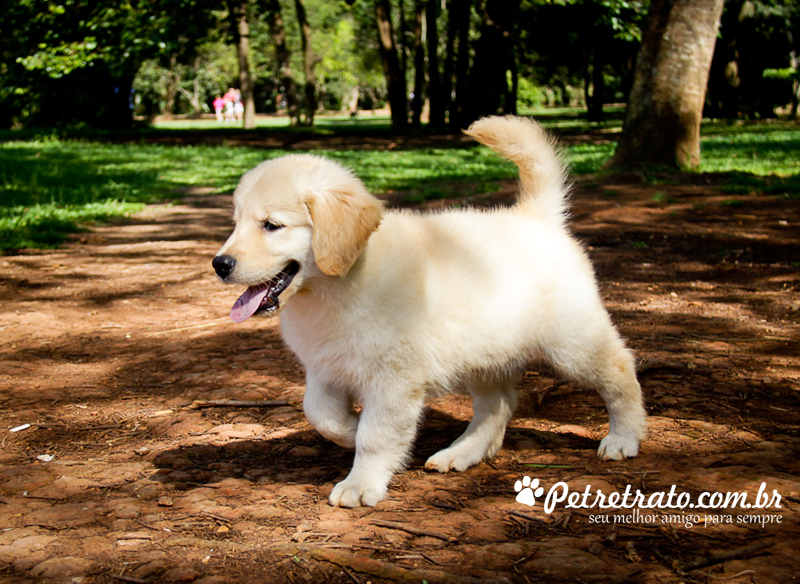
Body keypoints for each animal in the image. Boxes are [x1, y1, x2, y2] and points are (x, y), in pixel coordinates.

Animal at [214, 116, 648, 508]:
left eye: (272, 225)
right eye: (235, 223)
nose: (220, 264)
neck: (337, 285)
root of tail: (536, 216)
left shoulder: (393, 380)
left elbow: (375, 435)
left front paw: (361, 483)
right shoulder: (323, 369)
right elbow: (320, 414)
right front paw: (349, 430)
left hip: (572, 342)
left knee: (619, 369)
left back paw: (623, 437)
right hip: (484, 352)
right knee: (498, 406)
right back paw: (461, 453)